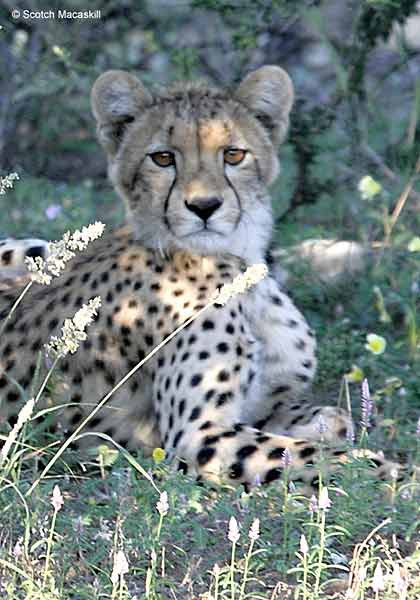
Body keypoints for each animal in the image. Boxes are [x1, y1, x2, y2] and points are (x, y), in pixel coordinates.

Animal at [0, 67, 400, 488]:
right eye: (162, 158)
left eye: (233, 154)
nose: (204, 206)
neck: (241, 266)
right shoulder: (200, 437)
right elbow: (326, 457)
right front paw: (397, 475)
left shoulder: (265, 405)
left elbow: (332, 422)